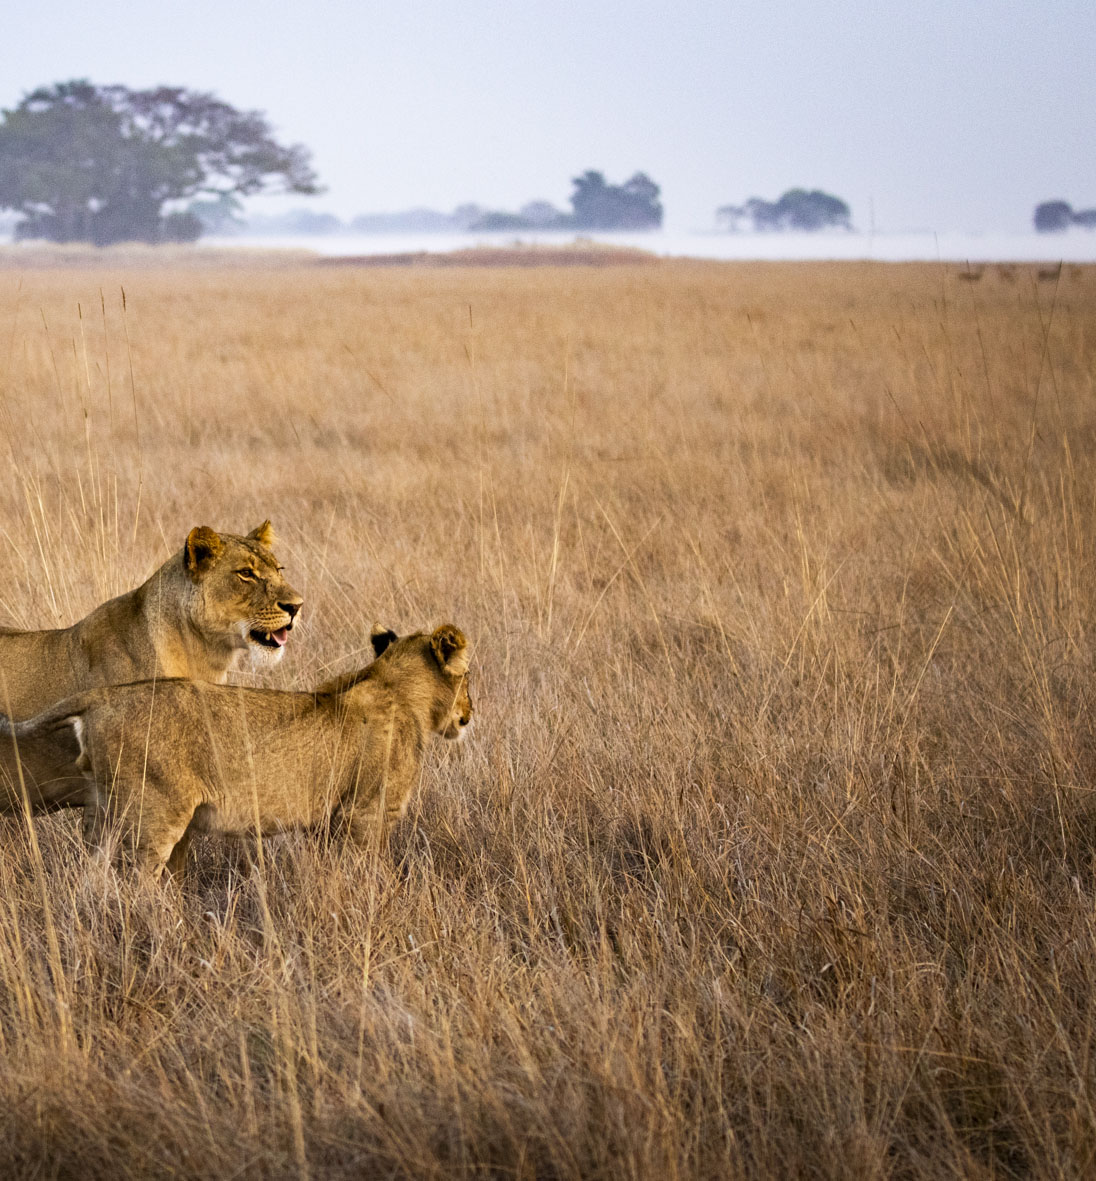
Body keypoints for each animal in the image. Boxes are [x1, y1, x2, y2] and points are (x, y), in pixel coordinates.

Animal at [1, 624, 473, 877]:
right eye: (469, 678)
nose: (469, 714)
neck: (394, 684)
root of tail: (103, 696)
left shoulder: (331, 820)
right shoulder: (367, 813)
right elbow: (370, 872)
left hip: (103, 810)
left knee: (93, 877)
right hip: (154, 813)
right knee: (137, 880)